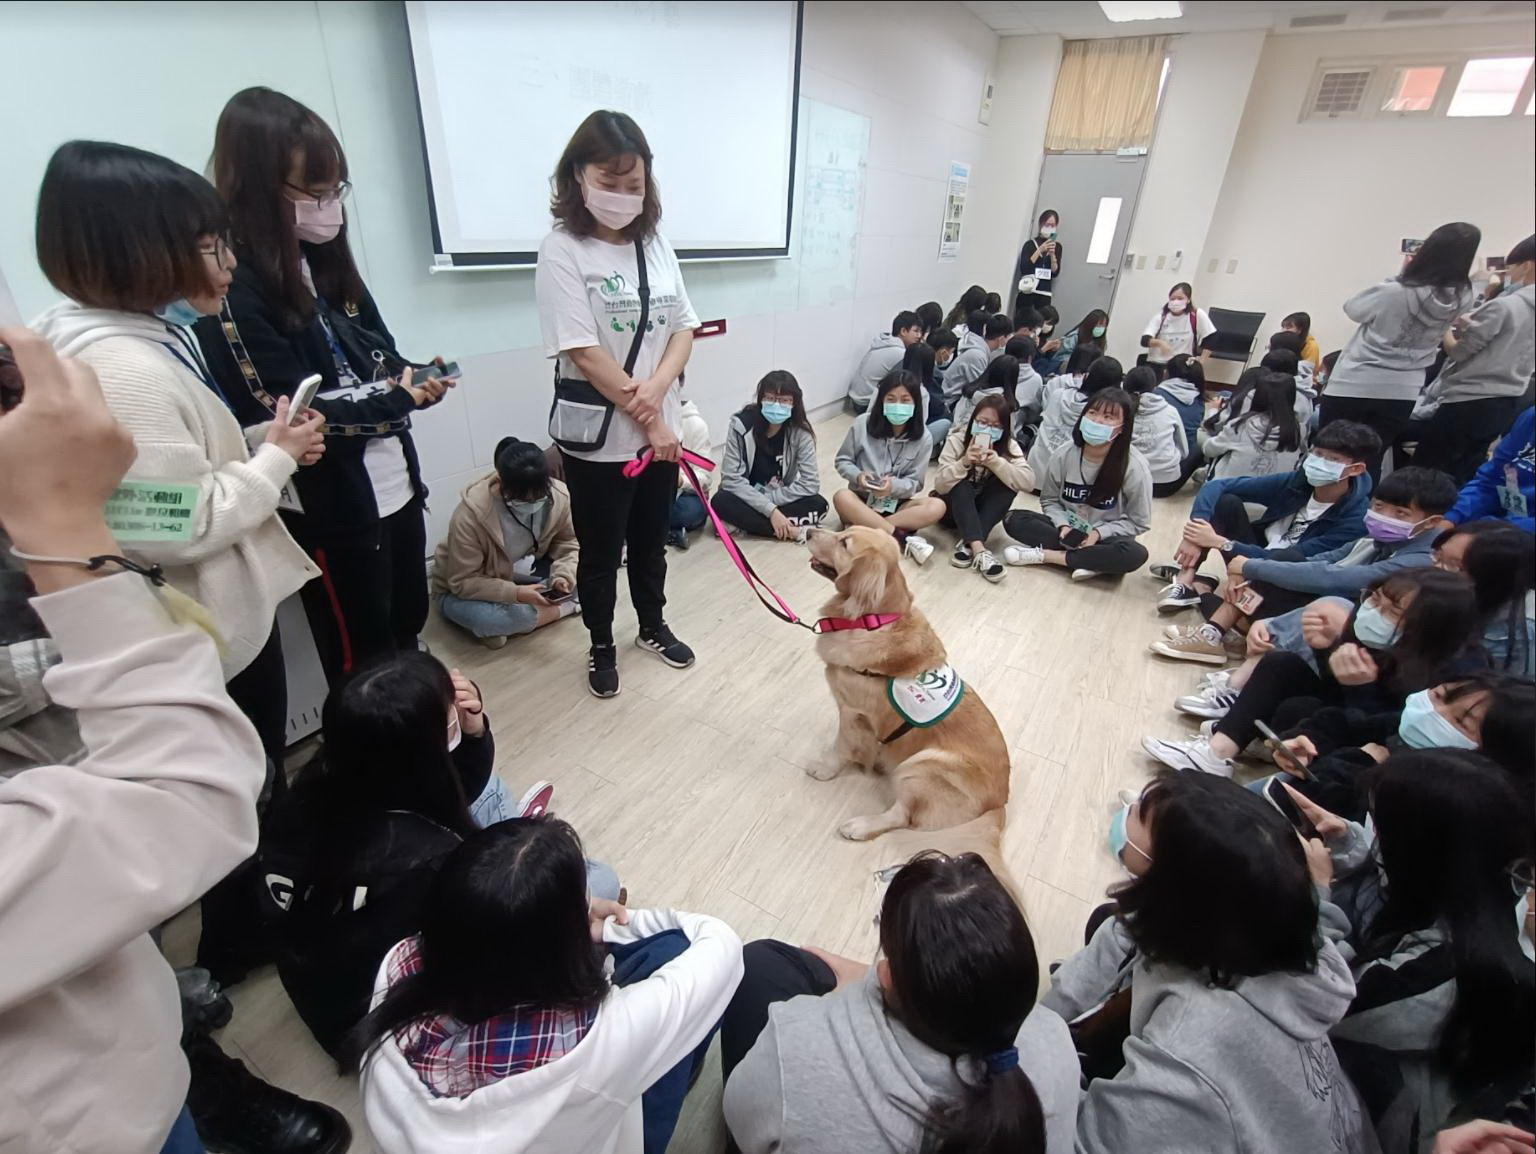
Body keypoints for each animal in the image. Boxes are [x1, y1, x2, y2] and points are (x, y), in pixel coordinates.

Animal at [798, 525, 1013, 842]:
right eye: (844, 531)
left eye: (844, 543)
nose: (809, 529)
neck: (873, 621)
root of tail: (999, 805)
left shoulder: (851, 712)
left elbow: (842, 747)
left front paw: (826, 769)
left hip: (922, 764)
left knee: (901, 816)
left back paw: (859, 826)